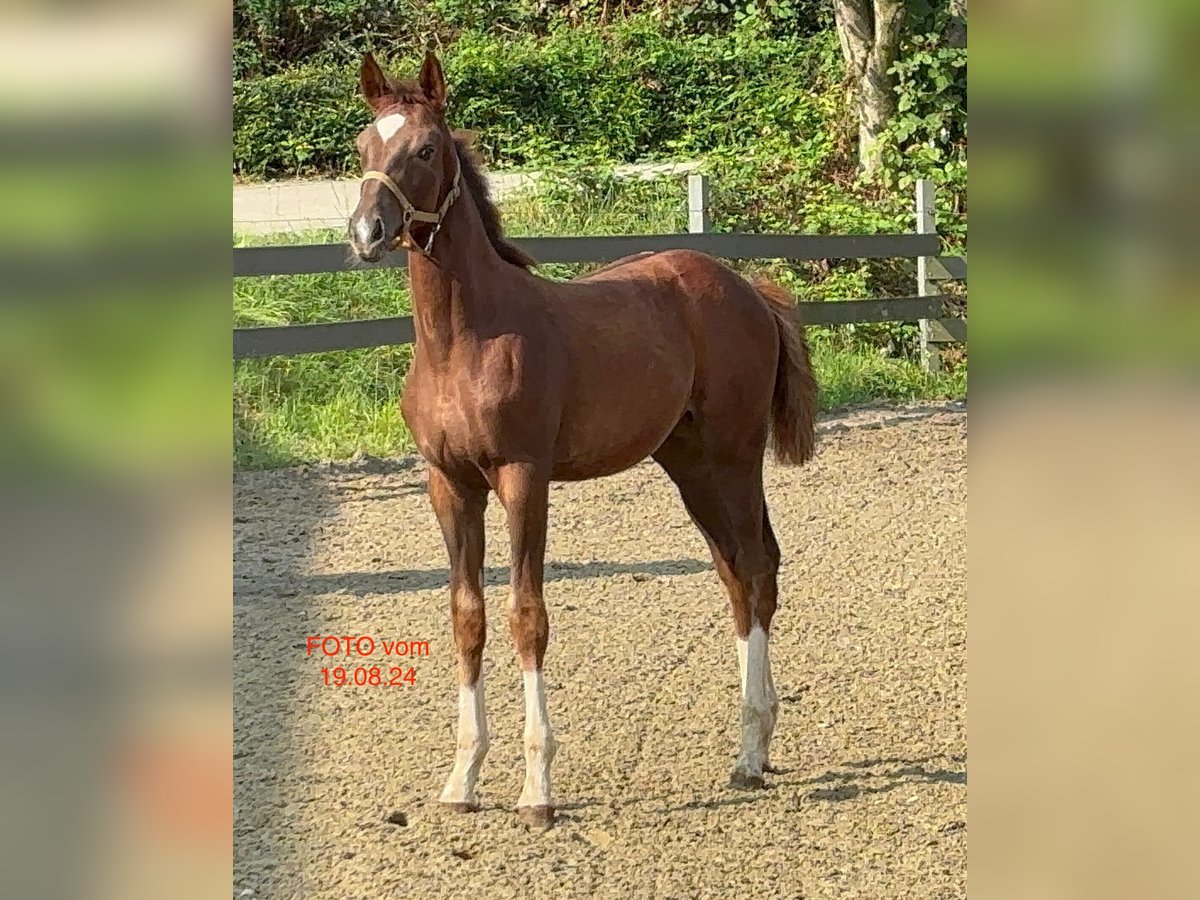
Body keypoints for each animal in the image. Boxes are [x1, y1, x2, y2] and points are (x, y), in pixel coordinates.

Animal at [348, 47, 816, 825]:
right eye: (362, 147)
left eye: (426, 148)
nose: (366, 233)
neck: (463, 340)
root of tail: (748, 286)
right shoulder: (449, 484)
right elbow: (468, 616)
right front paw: (462, 780)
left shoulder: (523, 476)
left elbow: (527, 615)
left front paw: (537, 790)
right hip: (688, 463)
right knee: (737, 572)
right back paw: (758, 743)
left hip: (735, 453)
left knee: (753, 566)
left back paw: (750, 754)